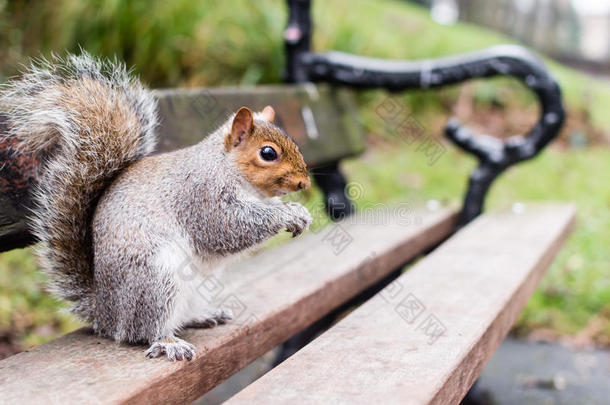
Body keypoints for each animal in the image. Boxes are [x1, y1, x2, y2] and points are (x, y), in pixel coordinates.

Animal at [0, 53, 312, 360]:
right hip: (156, 281)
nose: (304, 183)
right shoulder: (202, 196)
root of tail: (106, 314)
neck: (229, 168)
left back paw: (204, 316)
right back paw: (168, 342)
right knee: (142, 330)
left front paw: (300, 211)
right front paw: (287, 214)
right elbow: (226, 226)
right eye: (268, 153)